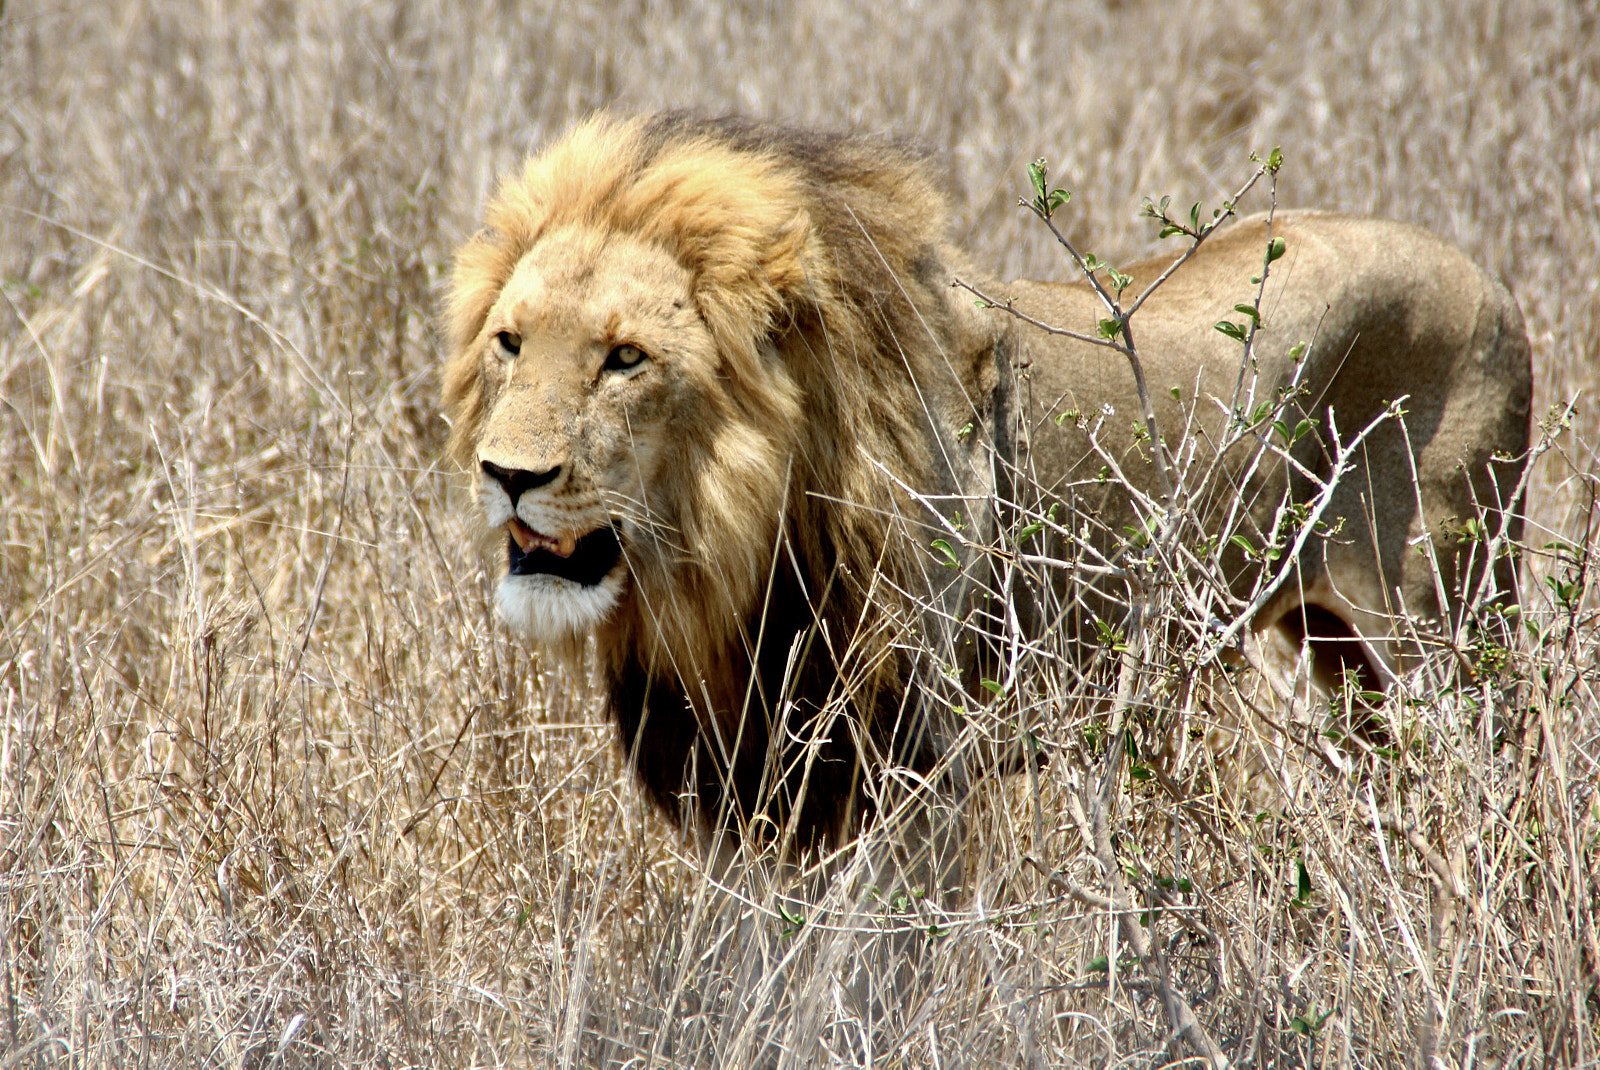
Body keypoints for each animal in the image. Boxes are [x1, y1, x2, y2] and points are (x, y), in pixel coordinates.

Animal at [440, 112, 1531, 857]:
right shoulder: (749, 783)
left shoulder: (901, 772)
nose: (507, 475)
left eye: (625, 358)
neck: (723, 565)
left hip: (1443, 626)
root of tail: (1494, 283)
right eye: (509, 341)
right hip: (1338, 652)